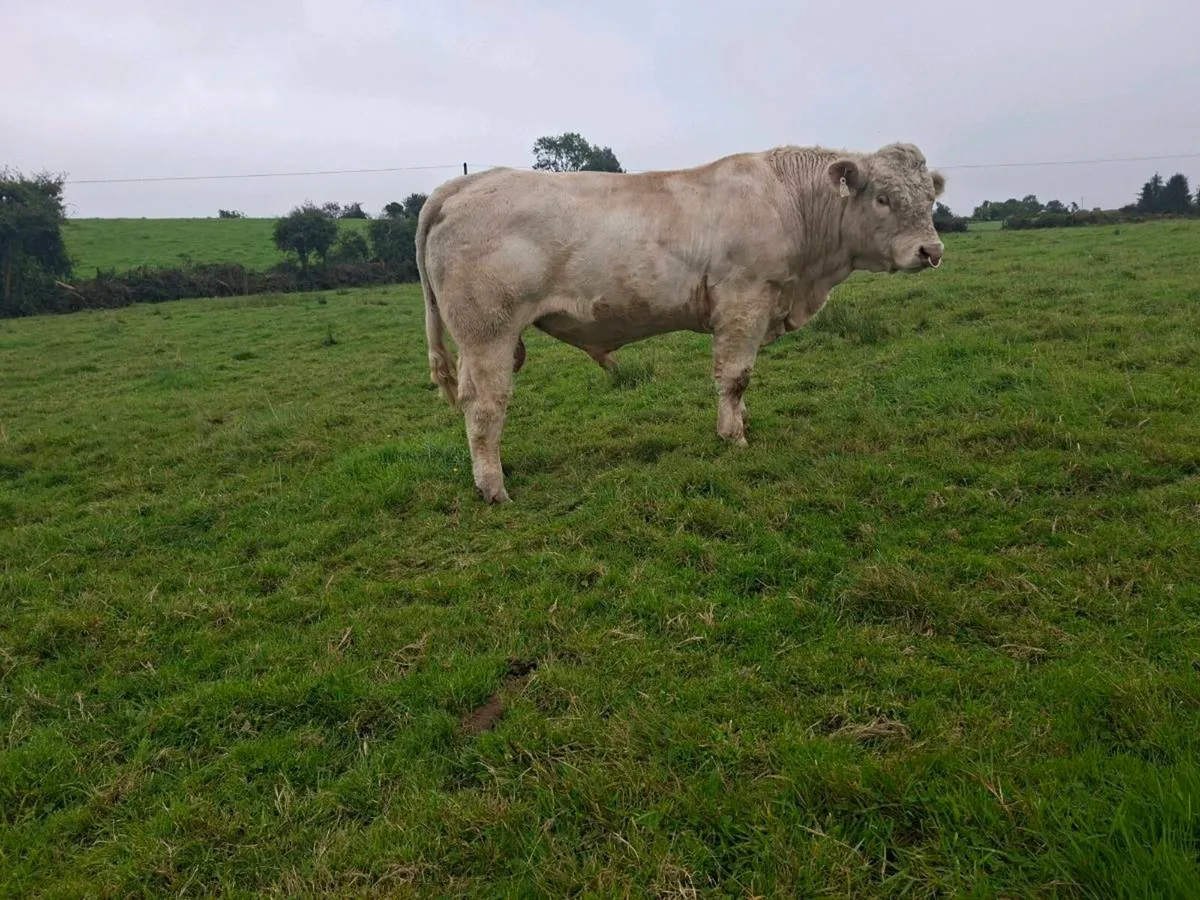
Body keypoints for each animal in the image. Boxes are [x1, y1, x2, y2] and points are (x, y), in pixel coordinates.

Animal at [416, 142, 946, 503]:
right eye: (883, 198)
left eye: (930, 200)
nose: (932, 250)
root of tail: (463, 184)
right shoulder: (743, 300)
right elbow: (735, 376)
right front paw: (733, 436)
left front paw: (741, 421)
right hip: (488, 331)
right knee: (485, 405)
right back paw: (493, 487)